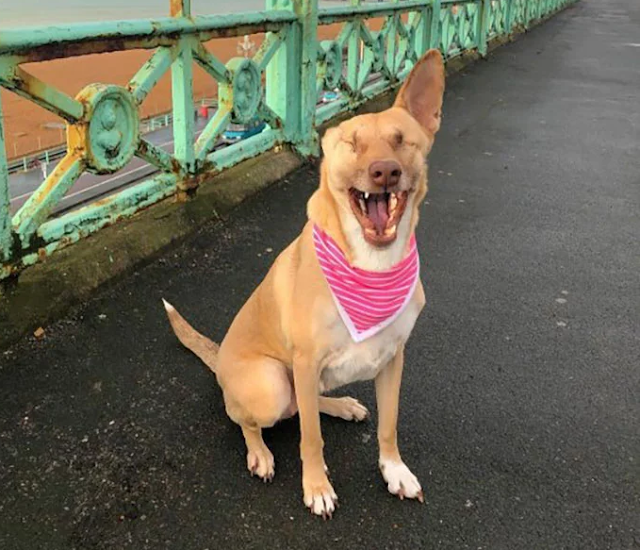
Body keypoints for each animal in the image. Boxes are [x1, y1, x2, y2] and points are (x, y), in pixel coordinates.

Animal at [163, 49, 445, 518]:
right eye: (353, 144)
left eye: (402, 140)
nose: (385, 172)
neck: (371, 267)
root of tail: (219, 361)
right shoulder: (307, 360)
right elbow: (311, 439)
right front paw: (317, 487)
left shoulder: (392, 359)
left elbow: (389, 426)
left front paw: (395, 470)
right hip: (270, 383)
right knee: (255, 418)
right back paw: (259, 452)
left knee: (302, 406)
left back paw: (341, 405)